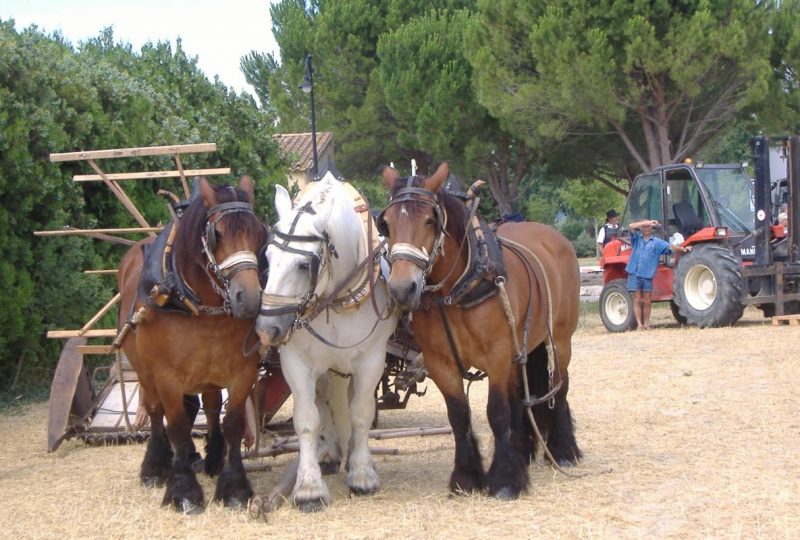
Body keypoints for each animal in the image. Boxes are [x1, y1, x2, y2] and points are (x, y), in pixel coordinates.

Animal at [115, 176, 268, 510]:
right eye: (216, 234)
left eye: (259, 232)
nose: (248, 299)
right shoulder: (167, 377)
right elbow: (178, 426)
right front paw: (183, 489)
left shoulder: (243, 372)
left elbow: (233, 422)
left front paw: (234, 487)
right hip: (144, 372)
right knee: (155, 410)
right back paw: (156, 466)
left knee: (210, 408)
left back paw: (212, 459)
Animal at [256, 173, 396, 510]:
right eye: (268, 257)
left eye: (303, 265)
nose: (267, 329)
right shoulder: (295, 362)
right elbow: (308, 419)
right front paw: (309, 488)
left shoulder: (371, 360)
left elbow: (361, 413)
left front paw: (362, 473)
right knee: (325, 401)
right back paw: (331, 453)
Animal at [382, 162, 580, 500]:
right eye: (387, 223)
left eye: (430, 220)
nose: (402, 288)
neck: (457, 287)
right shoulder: (440, 363)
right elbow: (459, 415)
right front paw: (467, 476)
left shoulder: (497, 354)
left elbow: (496, 412)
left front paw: (504, 480)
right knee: (519, 396)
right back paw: (522, 451)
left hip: (561, 339)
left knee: (560, 385)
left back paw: (563, 449)